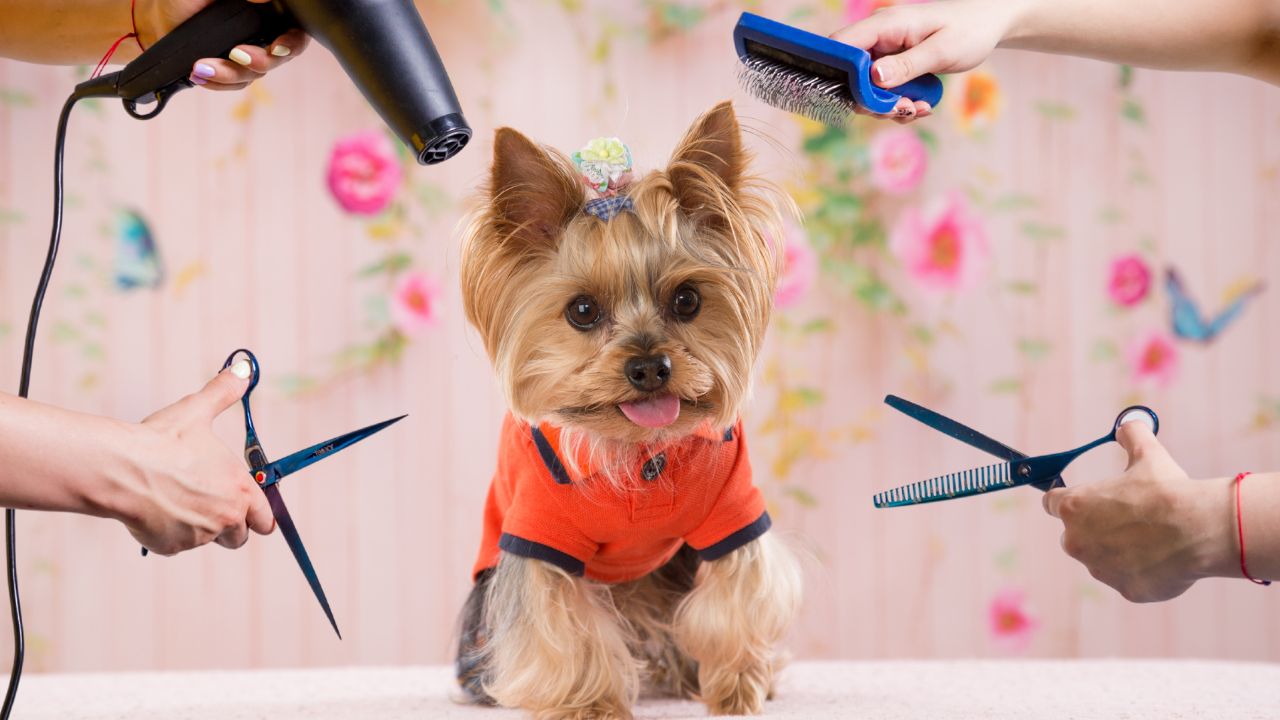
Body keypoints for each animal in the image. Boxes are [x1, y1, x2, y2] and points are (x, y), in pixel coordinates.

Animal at [458, 102, 798, 717]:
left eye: (687, 299)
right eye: (582, 310)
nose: (648, 368)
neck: (637, 451)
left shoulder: (734, 508)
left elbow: (738, 589)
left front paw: (737, 684)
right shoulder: (539, 531)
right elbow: (561, 620)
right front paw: (590, 702)